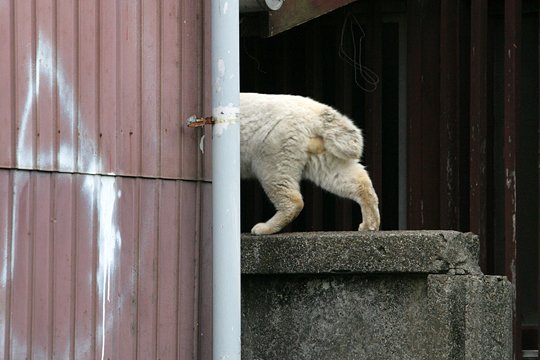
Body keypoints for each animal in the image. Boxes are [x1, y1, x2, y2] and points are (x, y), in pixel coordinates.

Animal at [240, 91, 380, 235]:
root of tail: (315, 111)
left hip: (274, 143)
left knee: (277, 179)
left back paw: (263, 227)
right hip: (317, 145)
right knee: (340, 175)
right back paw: (369, 224)